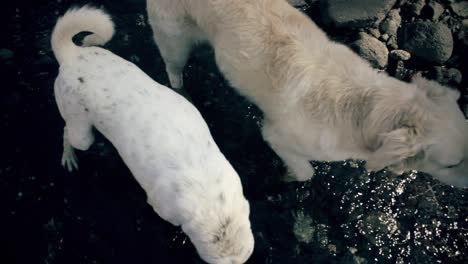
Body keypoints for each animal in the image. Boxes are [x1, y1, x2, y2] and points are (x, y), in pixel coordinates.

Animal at [50, 6, 254, 264]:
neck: (209, 194)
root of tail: (71, 55)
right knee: (67, 133)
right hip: (82, 135)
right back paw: (69, 157)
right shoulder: (162, 207)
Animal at [148, 0, 468, 187]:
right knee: (172, 68)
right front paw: (286, 175)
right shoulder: (277, 135)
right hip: (174, 39)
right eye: (451, 164)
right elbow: (306, 173)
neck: (364, 111)